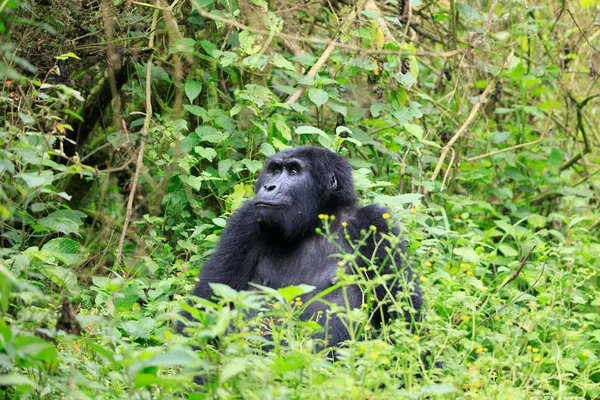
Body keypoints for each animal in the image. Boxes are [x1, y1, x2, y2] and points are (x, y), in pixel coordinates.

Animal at [182, 146, 422, 346]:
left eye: (294, 171)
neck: (314, 225)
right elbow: (206, 303)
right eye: (274, 170)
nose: (269, 186)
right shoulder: (244, 222)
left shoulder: (374, 224)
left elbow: (404, 313)